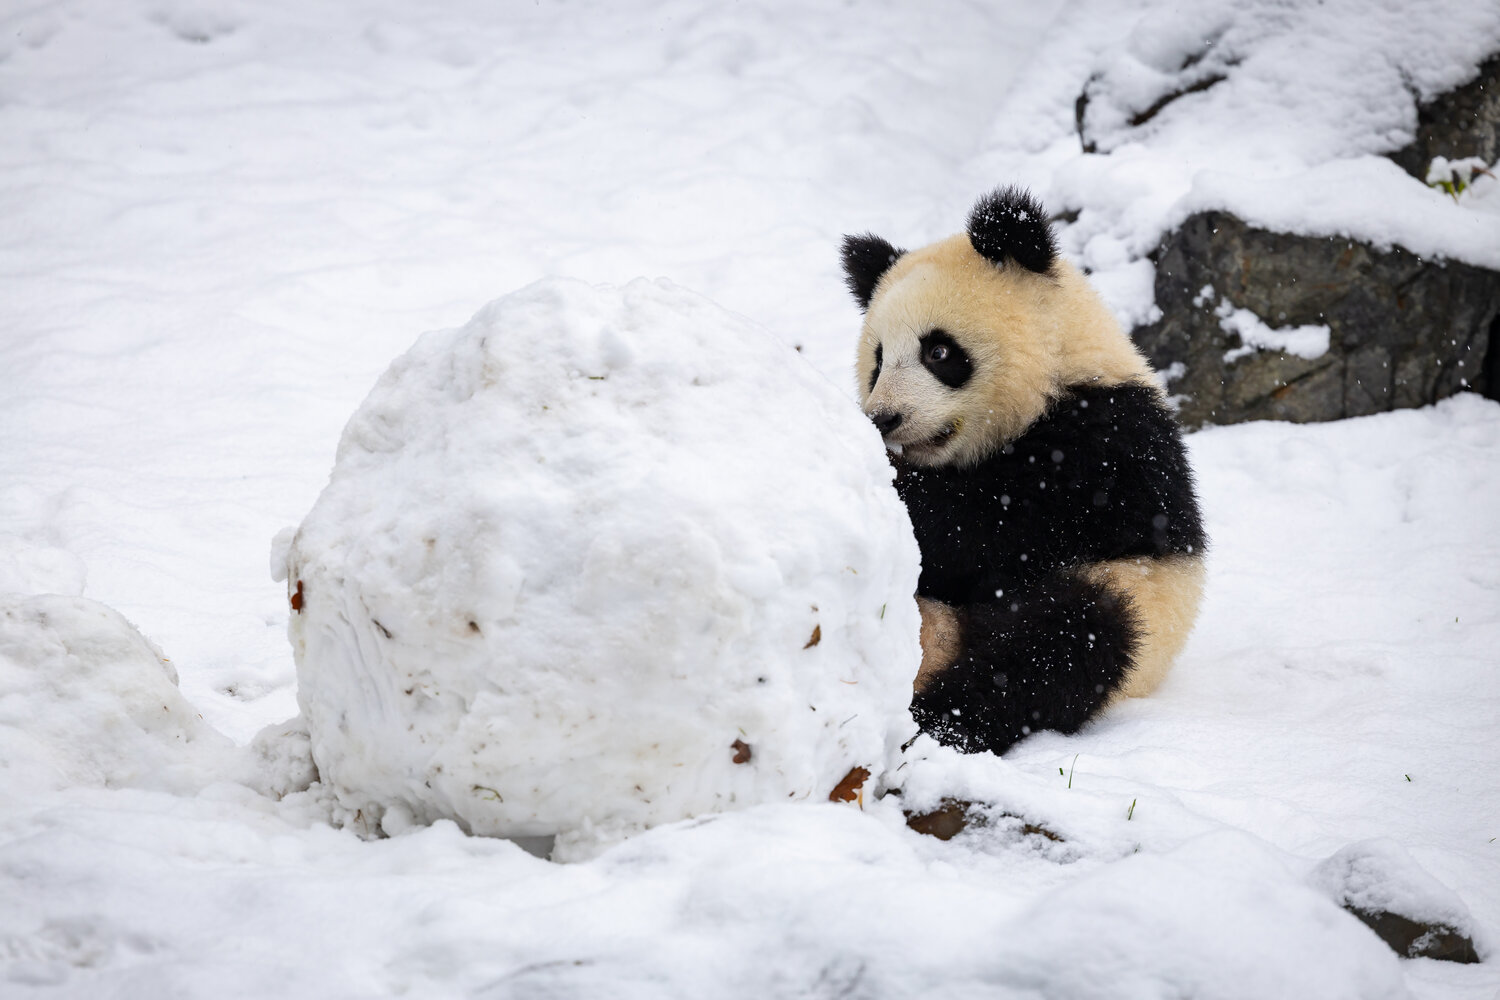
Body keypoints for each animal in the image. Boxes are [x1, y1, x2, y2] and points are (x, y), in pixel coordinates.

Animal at [841, 186, 1207, 755]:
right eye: (878, 360)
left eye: (938, 350)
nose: (884, 418)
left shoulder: (1100, 450)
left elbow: (979, 526)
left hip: (1133, 596)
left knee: (1064, 642)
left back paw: (940, 722)